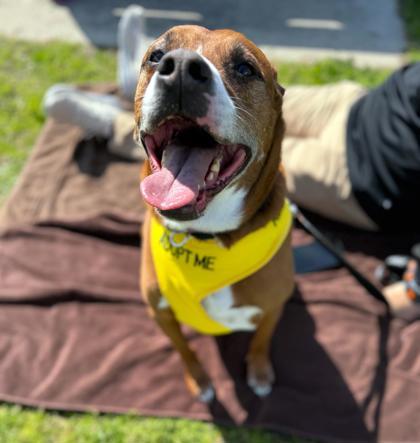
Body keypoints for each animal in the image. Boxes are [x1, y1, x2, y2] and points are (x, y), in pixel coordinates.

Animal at [134, 26, 292, 404]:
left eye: (246, 69)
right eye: (156, 56)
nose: (180, 67)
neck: (209, 236)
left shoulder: (275, 305)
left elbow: (262, 338)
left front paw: (259, 371)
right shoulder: (160, 312)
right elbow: (184, 349)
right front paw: (199, 379)